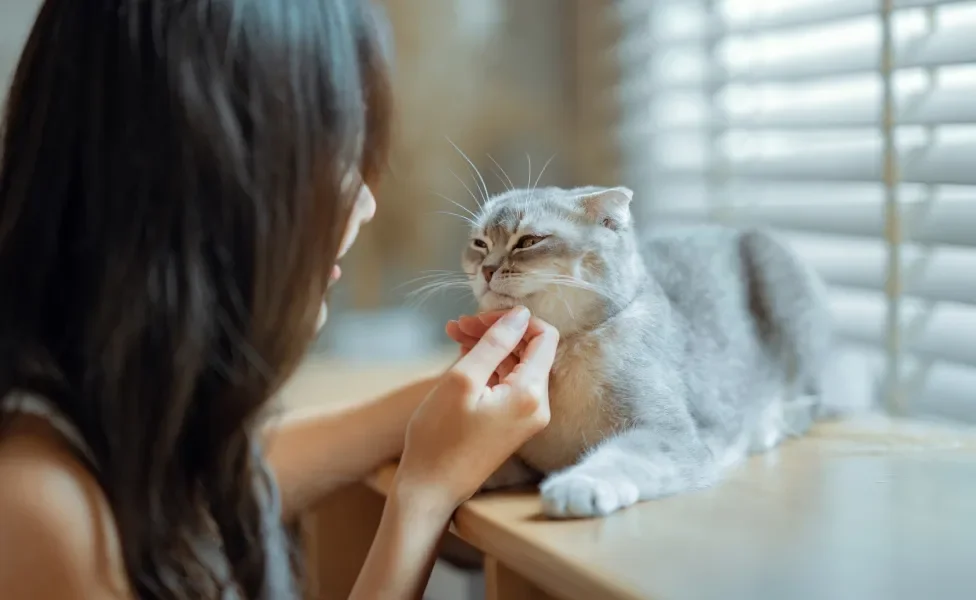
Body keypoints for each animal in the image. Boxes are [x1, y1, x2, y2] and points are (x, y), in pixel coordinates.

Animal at [464, 186, 832, 520]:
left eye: (529, 241)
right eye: (479, 244)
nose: (487, 269)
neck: (562, 351)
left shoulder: (672, 435)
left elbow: (623, 457)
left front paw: (578, 484)